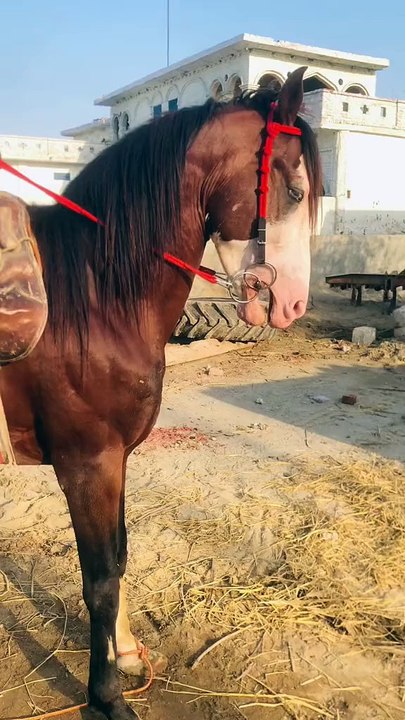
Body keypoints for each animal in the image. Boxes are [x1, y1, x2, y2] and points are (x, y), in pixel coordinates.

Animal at [0, 67, 321, 719]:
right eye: (297, 191)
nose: (294, 304)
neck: (91, 295)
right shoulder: (87, 463)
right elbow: (99, 578)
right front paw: (106, 696)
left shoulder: (114, 460)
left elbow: (120, 557)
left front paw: (125, 655)